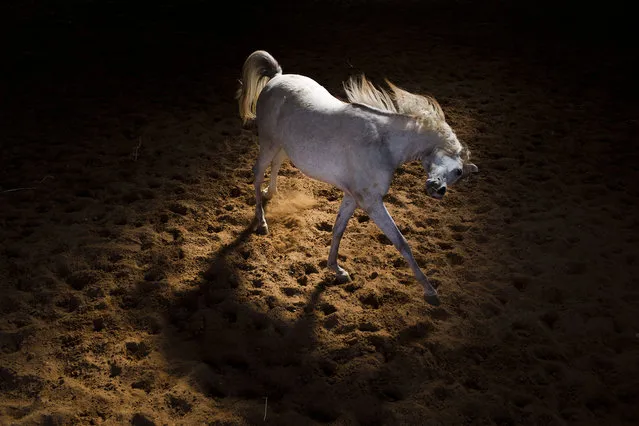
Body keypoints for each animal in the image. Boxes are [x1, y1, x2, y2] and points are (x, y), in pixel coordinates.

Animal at [238, 50, 478, 304]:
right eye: (458, 170)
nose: (438, 190)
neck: (383, 143)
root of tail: (276, 77)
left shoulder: (352, 197)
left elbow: (338, 230)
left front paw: (336, 270)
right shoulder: (371, 202)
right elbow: (401, 242)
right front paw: (430, 291)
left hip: (282, 146)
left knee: (275, 166)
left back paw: (271, 193)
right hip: (268, 143)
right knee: (257, 174)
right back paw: (261, 222)